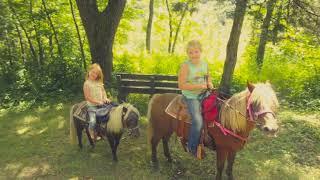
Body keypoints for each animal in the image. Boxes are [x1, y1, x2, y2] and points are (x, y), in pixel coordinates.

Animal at [146, 82, 278, 180]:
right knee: (154, 142)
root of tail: (157, 96)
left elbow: (229, 167)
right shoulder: (222, 149)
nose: (271, 129)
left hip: (168, 129)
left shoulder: (233, 149)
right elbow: (220, 167)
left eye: (273, 103)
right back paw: (154, 163)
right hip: (159, 129)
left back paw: (169, 159)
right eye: (254, 103)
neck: (228, 122)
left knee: (164, 140)